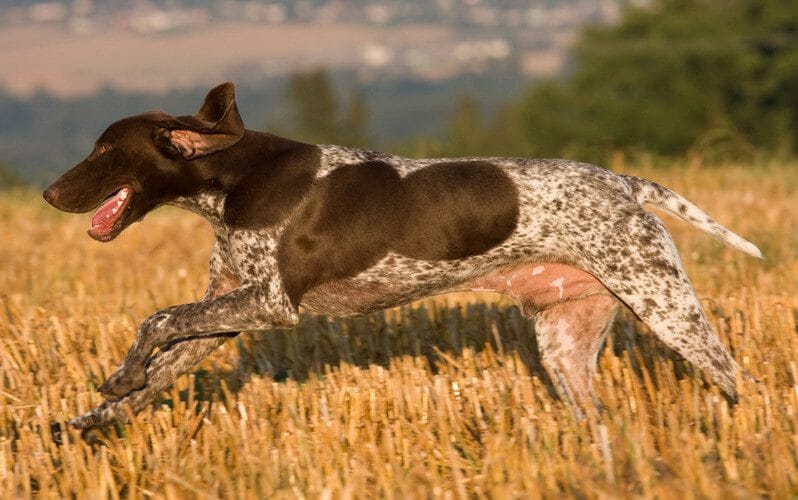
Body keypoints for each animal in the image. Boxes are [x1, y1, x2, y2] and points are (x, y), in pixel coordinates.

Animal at [42, 83, 764, 434]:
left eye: (105, 150)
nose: (49, 194)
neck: (233, 180)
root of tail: (625, 183)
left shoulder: (270, 305)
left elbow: (158, 319)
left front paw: (120, 376)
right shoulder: (228, 311)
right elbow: (157, 368)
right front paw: (94, 412)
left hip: (666, 307)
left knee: (737, 380)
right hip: (565, 343)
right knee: (597, 416)